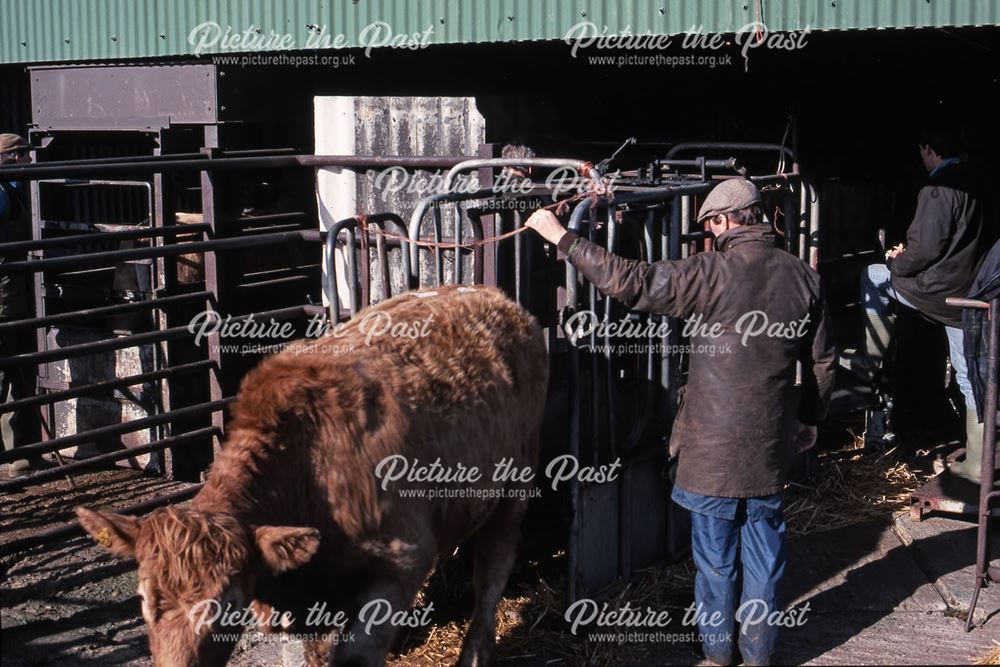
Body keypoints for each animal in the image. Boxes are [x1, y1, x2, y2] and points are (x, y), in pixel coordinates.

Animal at [76, 288, 548, 667]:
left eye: (228, 606)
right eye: (143, 600)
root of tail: (494, 297)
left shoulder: (404, 559)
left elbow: (355, 654)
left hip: (515, 482)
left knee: (493, 565)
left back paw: (475, 651)